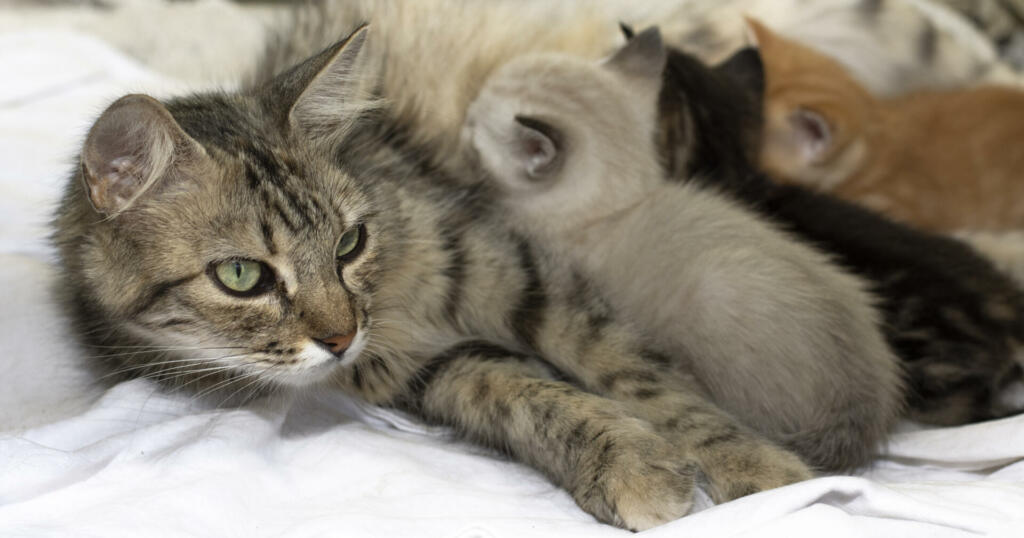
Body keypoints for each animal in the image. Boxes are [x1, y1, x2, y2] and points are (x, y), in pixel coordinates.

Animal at [54, 28, 823, 528]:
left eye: (349, 242)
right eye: (242, 275)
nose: (341, 338)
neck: (392, 295)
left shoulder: (515, 272)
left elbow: (641, 375)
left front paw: (760, 470)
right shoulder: (423, 365)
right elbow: (533, 397)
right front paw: (627, 463)